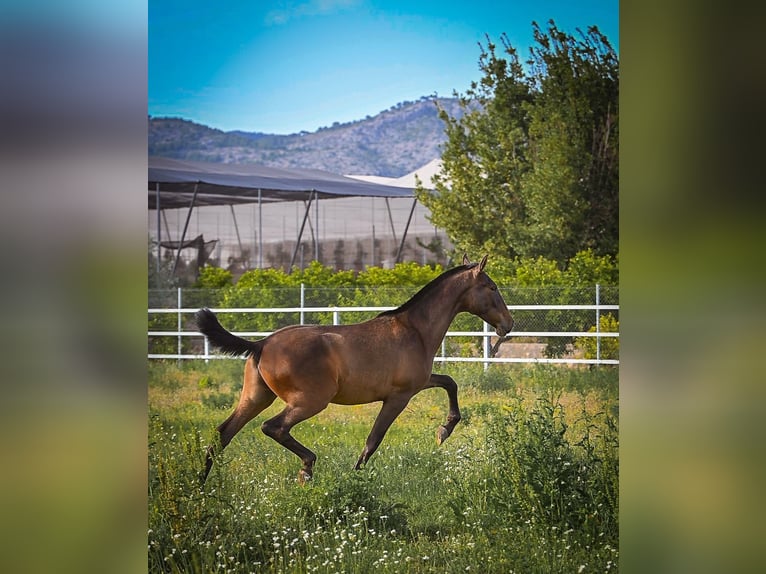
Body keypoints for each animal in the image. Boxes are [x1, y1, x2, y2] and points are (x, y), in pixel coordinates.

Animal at [196, 255, 513, 484]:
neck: (415, 330)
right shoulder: (398, 397)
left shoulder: (419, 383)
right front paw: (356, 478)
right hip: (310, 401)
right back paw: (307, 467)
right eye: (492, 287)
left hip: (256, 397)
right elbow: (373, 440)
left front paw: (444, 430)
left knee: (221, 435)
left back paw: (200, 486)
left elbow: (449, 382)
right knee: (273, 427)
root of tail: (261, 344)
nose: (507, 324)